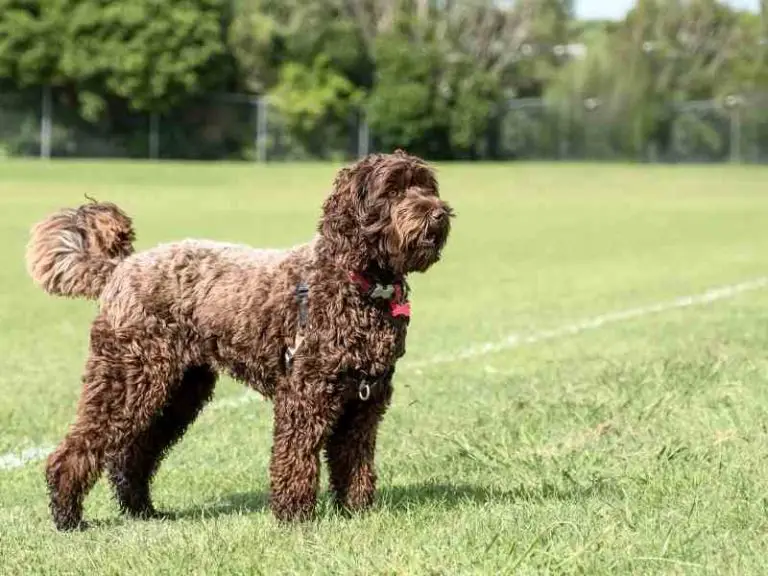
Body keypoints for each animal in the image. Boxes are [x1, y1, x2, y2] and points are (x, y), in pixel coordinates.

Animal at [25, 150, 450, 532]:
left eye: (426, 186)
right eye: (392, 190)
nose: (438, 213)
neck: (357, 283)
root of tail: (120, 268)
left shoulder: (365, 401)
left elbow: (354, 459)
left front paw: (356, 511)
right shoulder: (305, 394)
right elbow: (296, 456)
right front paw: (295, 516)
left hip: (179, 391)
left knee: (133, 455)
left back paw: (142, 510)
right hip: (127, 378)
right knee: (78, 450)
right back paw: (67, 516)